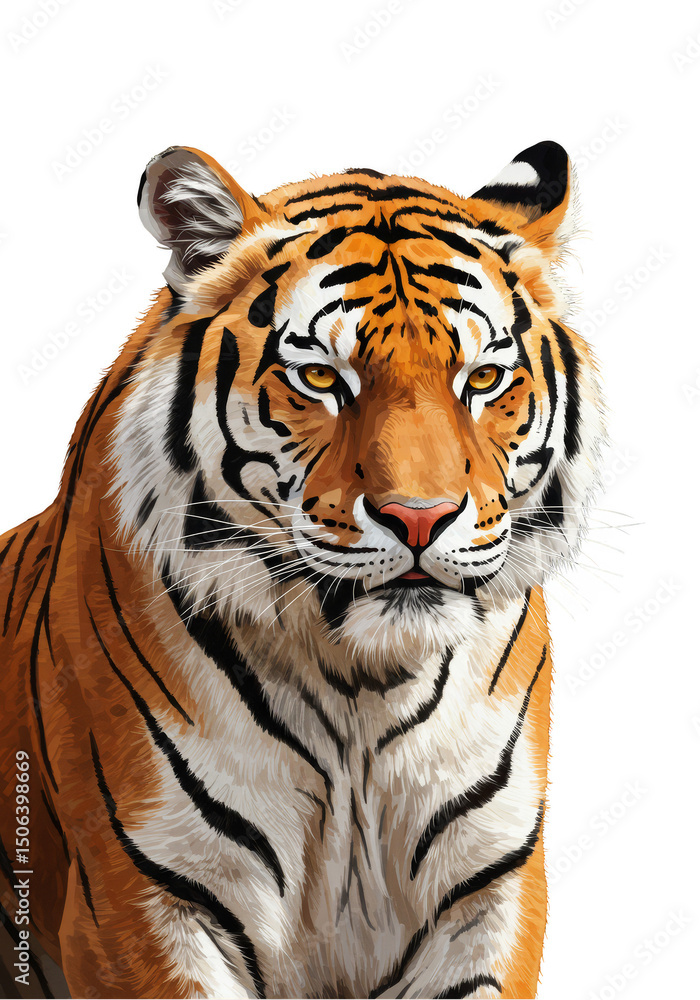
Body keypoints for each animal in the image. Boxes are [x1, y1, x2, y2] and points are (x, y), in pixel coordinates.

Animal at [0, 139, 603, 1000]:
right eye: (321, 378)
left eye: (483, 380)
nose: (420, 517)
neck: (363, 685)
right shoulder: (141, 897)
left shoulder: (488, 888)